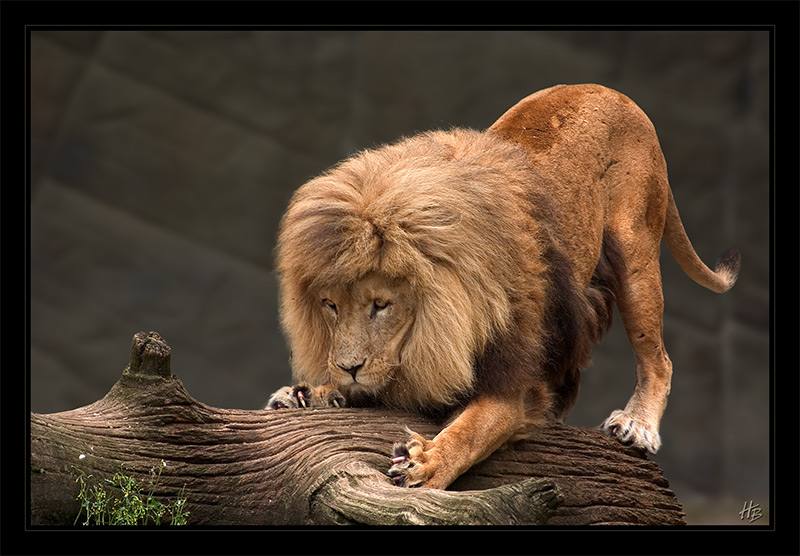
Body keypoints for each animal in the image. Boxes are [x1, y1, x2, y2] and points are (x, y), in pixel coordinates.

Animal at [266, 82, 740, 486]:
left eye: (380, 305)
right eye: (329, 305)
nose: (348, 367)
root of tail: (612, 92)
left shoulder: (516, 383)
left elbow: (473, 429)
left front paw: (427, 463)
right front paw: (311, 393)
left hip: (635, 255)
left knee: (659, 358)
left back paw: (637, 424)